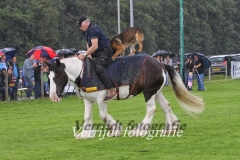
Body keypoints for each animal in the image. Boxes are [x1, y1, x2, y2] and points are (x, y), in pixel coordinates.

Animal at [47, 54, 204, 139]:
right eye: (48, 77)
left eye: (57, 76)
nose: (53, 97)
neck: (85, 72)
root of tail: (160, 63)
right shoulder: (88, 100)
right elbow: (87, 117)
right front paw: (86, 134)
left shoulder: (101, 99)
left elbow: (103, 116)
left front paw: (115, 129)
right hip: (156, 91)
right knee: (166, 106)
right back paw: (171, 127)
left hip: (148, 92)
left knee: (151, 109)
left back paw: (140, 130)